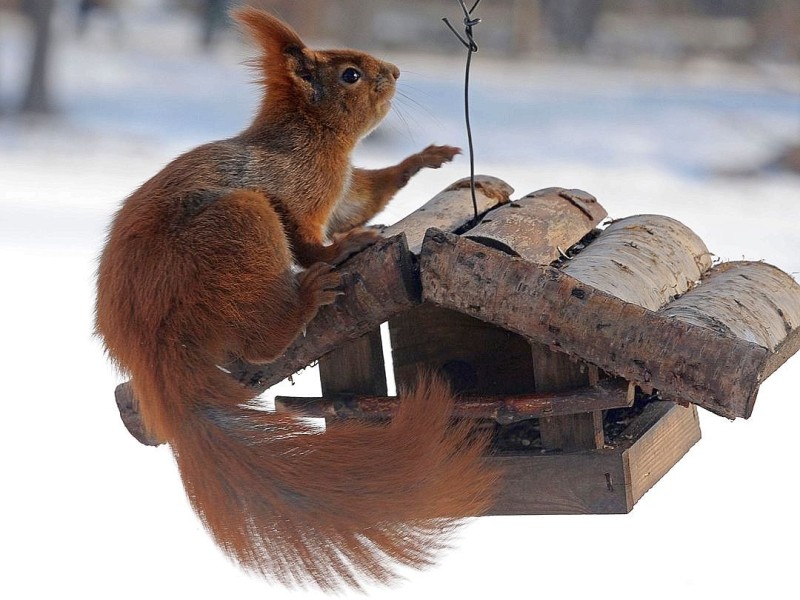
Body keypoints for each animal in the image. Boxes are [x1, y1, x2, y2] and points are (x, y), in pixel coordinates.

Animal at [92, 8, 494, 592]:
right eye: (350, 75)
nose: (395, 71)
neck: (313, 138)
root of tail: (147, 342)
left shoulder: (343, 190)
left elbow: (365, 195)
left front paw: (424, 159)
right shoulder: (297, 194)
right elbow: (311, 241)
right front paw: (345, 247)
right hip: (243, 225)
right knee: (257, 342)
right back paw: (306, 297)